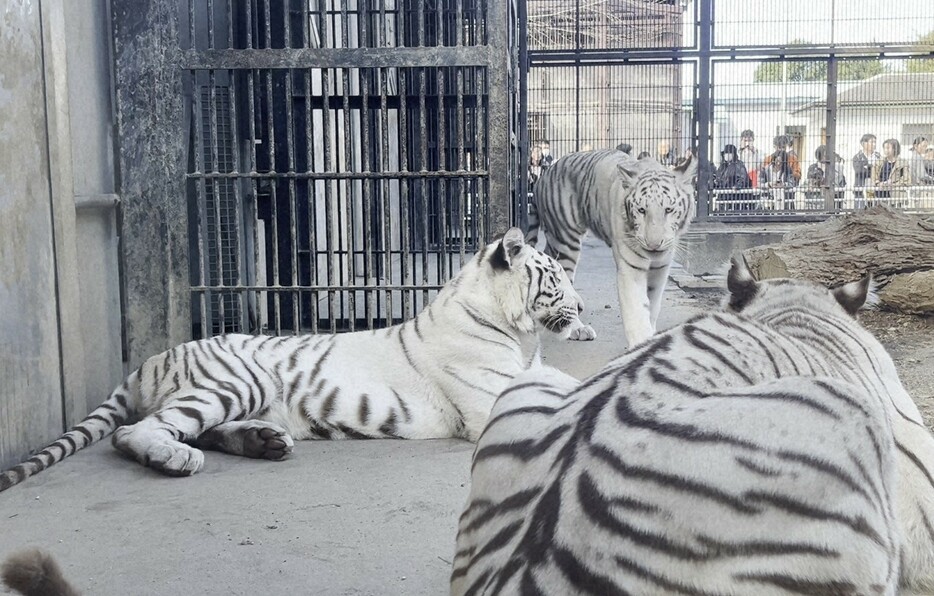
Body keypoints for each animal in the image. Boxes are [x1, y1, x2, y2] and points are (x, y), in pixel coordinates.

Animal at [0, 227, 584, 488]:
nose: (581, 307)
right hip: (237, 381)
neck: (517, 332)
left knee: (197, 428)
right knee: (138, 431)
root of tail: (149, 361)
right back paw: (174, 458)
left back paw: (263, 442)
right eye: (555, 277)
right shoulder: (493, 396)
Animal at [532, 147, 700, 346]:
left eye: (668, 210)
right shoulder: (631, 269)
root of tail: (546, 172)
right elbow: (637, 311)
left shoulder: (660, 269)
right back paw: (578, 328)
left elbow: (652, 305)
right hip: (566, 239)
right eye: (641, 210)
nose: (653, 245)